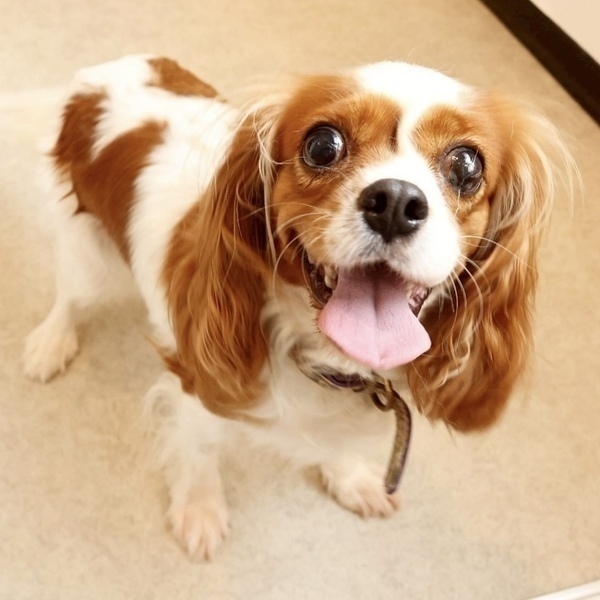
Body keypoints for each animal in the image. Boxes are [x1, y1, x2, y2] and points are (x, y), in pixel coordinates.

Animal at [23, 55, 573, 560]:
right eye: (322, 145)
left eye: (466, 165)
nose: (396, 202)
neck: (327, 359)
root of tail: (101, 73)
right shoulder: (198, 386)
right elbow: (199, 453)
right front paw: (200, 511)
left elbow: (335, 445)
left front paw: (350, 478)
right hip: (88, 255)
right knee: (70, 296)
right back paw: (50, 343)